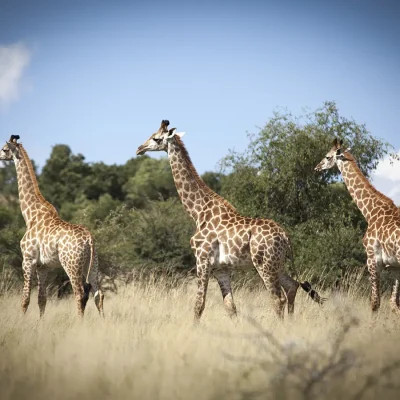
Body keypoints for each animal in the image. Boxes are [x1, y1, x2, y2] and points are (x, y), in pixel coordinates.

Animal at [0, 136, 104, 318]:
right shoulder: (43, 266)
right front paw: (39, 323)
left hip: (71, 264)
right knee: (98, 293)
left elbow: (25, 298)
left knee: (80, 293)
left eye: (5, 149)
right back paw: (103, 322)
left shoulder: (28, 259)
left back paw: (80, 323)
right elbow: (42, 299)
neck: (30, 215)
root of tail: (89, 240)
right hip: (92, 264)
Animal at [137, 119, 324, 322]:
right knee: (292, 286)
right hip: (277, 263)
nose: (139, 148)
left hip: (264, 264)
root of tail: (285, 236)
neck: (198, 212)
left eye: (156, 138)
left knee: (277, 298)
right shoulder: (221, 268)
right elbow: (230, 307)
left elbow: (199, 305)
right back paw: (289, 324)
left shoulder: (202, 260)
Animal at [316, 139, 400, 314]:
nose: (317, 167)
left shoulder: (372, 259)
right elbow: (394, 303)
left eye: (327, 156)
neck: (371, 212)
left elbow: (375, 302)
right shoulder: (395, 266)